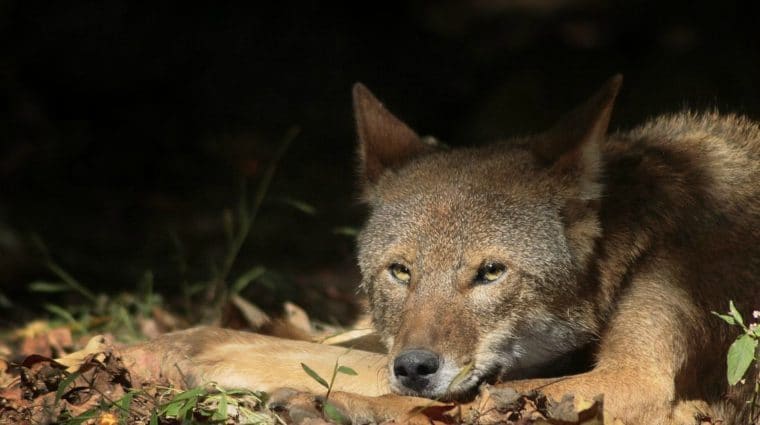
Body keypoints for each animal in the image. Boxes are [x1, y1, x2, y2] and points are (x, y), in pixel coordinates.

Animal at [122, 76, 760, 424]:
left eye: (491, 272)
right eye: (401, 271)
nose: (415, 366)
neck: (645, 234)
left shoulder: (636, 379)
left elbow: (463, 399)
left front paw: (330, 402)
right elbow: (330, 349)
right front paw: (156, 348)